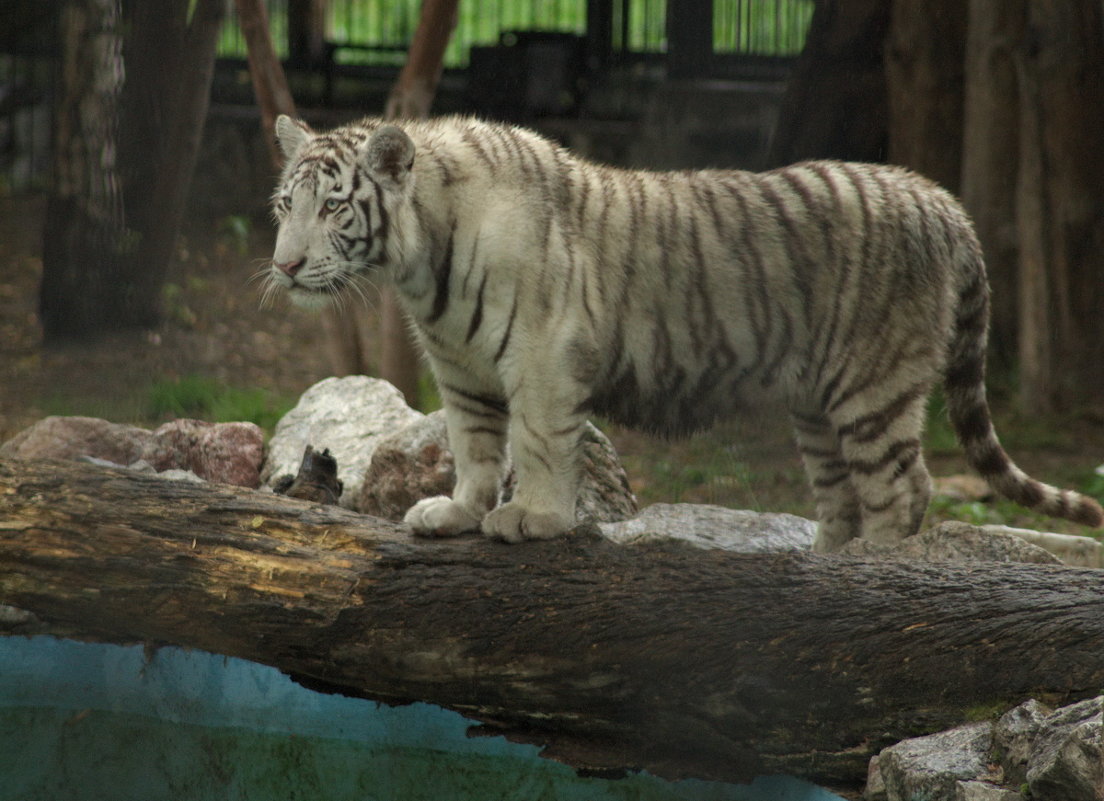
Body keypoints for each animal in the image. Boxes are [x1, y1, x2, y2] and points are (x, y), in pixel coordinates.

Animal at [262, 113, 1099, 551]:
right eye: (282, 206)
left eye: (333, 206)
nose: (286, 264)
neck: (418, 261)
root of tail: (943, 201)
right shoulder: (463, 370)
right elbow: (473, 447)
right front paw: (457, 511)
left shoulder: (542, 359)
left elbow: (537, 445)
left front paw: (534, 517)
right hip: (818, 402)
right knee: (843, 494)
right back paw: (827, 561)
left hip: (875, 384)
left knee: (903, 488)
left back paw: (873, 566)